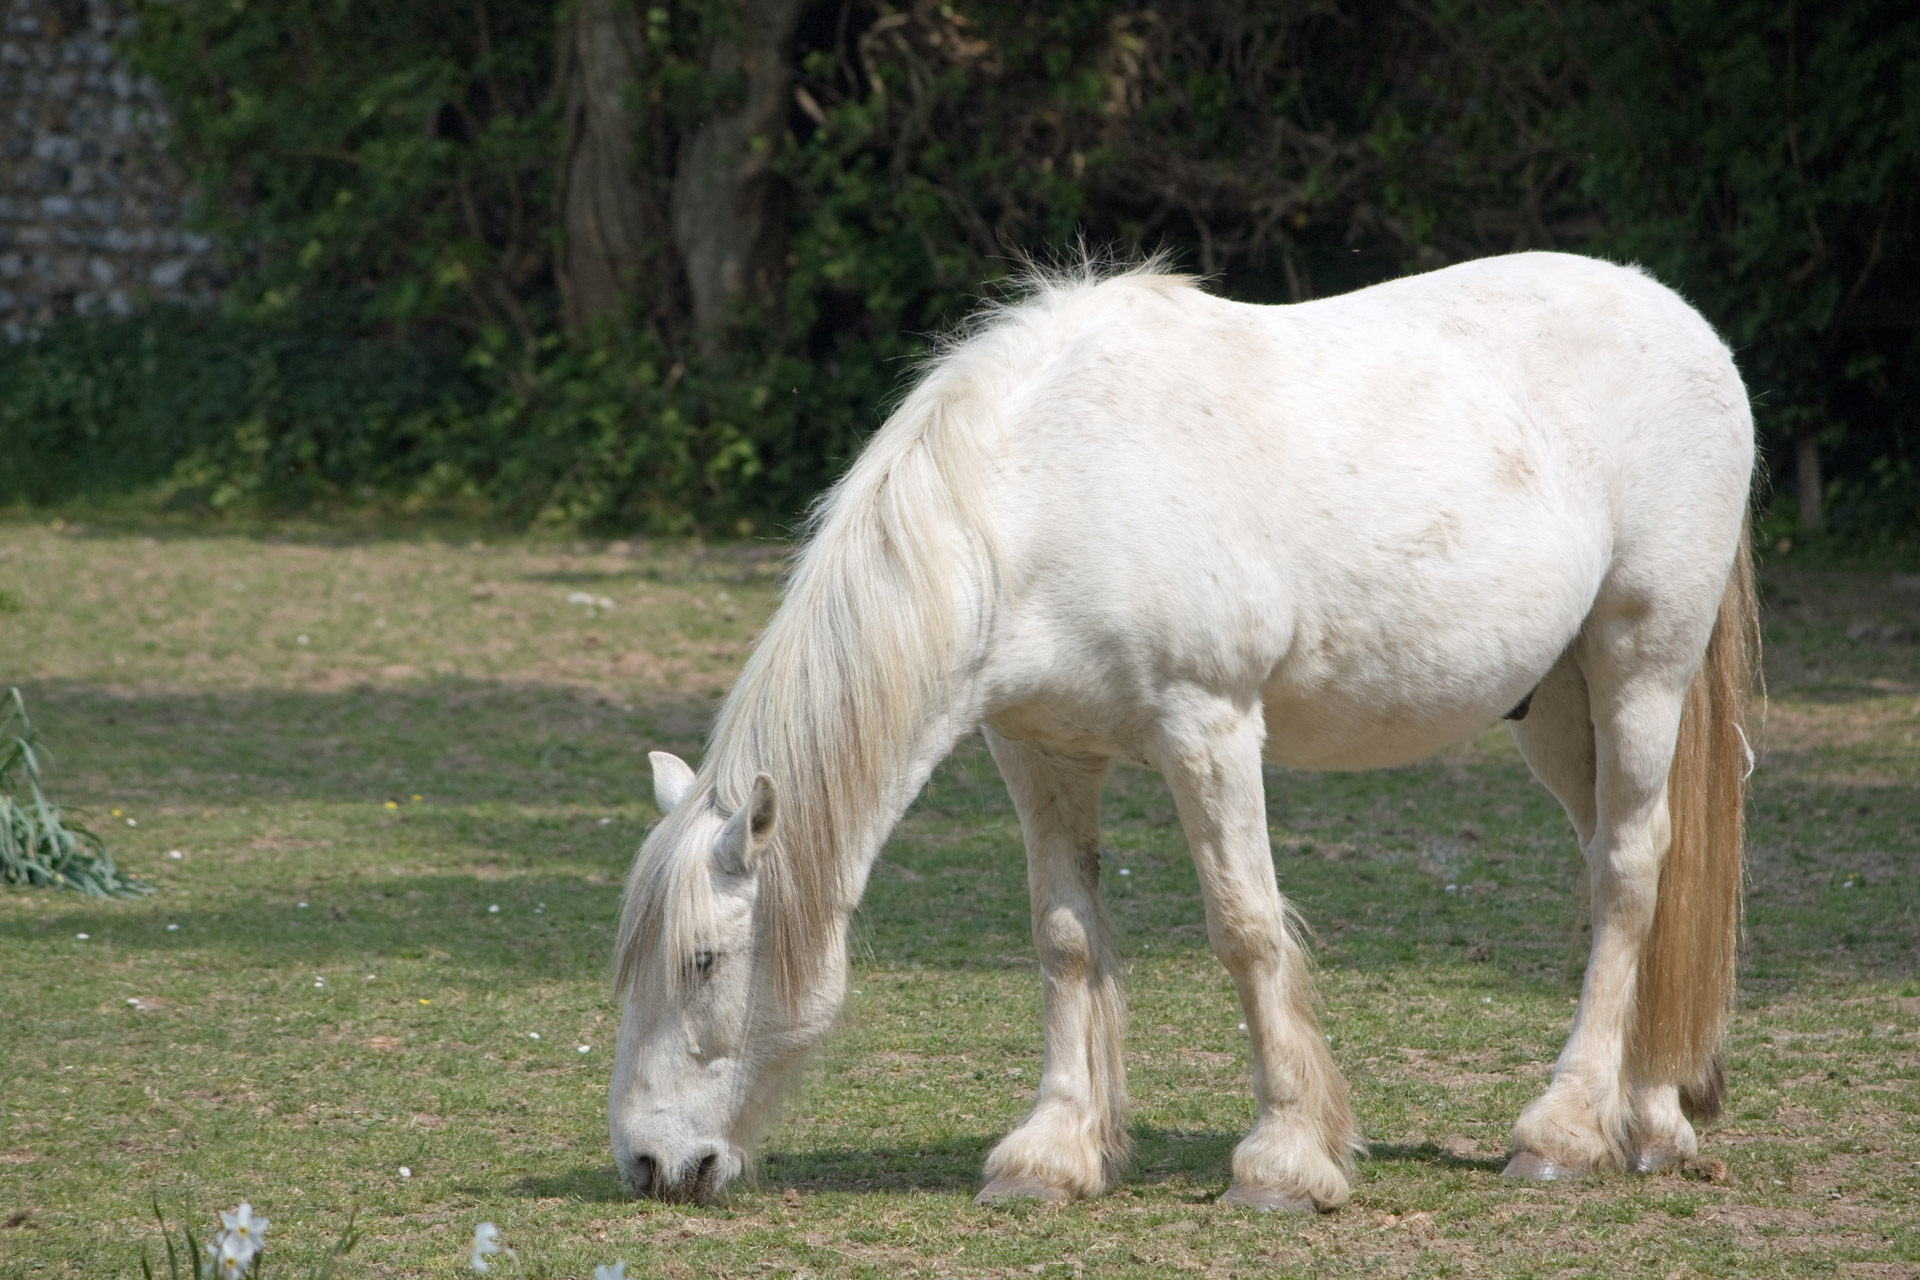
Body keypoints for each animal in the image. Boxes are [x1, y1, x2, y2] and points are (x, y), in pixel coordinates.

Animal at [610, 249, 1758, 1212]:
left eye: (706, 959)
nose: (652, 1162)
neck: (1046, 492)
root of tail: (1686, 323)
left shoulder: (1208, 728)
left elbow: (1245, 928)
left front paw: (1285, 1160)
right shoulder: (1039, 751)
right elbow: (1065, 938)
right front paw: (1051, 1154)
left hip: (1639, 665)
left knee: (1628, 870)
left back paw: (1564, 1130)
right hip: (1557, 711)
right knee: (1630, 867)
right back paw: (1652, 1118)